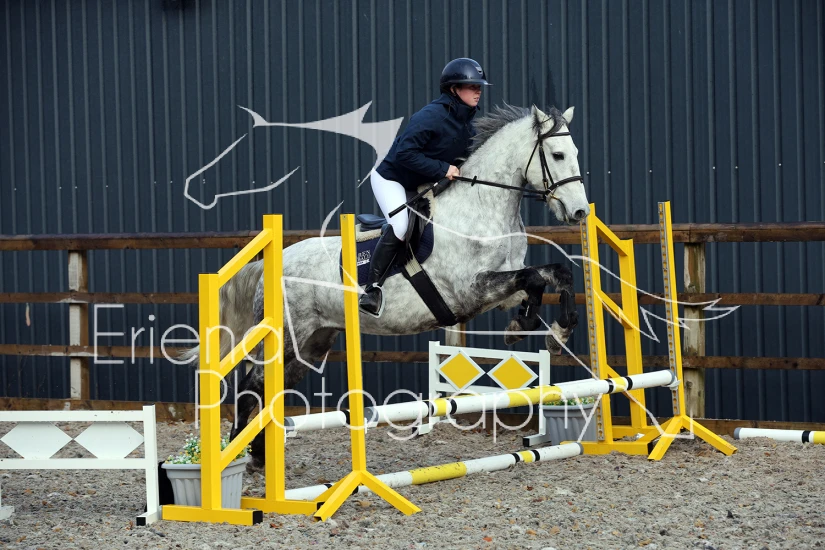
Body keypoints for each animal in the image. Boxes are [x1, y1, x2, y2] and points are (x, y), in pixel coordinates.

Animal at [181, 104, 590, 469]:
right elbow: (535, 277)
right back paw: (241, 459)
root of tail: (271, 264)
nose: (580, 212)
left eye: (575, 153)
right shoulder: (472, 290)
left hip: (311, 344)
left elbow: (553, 275)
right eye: (557, 154)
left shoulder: (501, 289)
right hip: (285, 335)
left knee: (268, 389)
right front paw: (527, 327)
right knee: (251, 387)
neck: (481, 208)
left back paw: (258, 457)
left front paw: (552, 331)